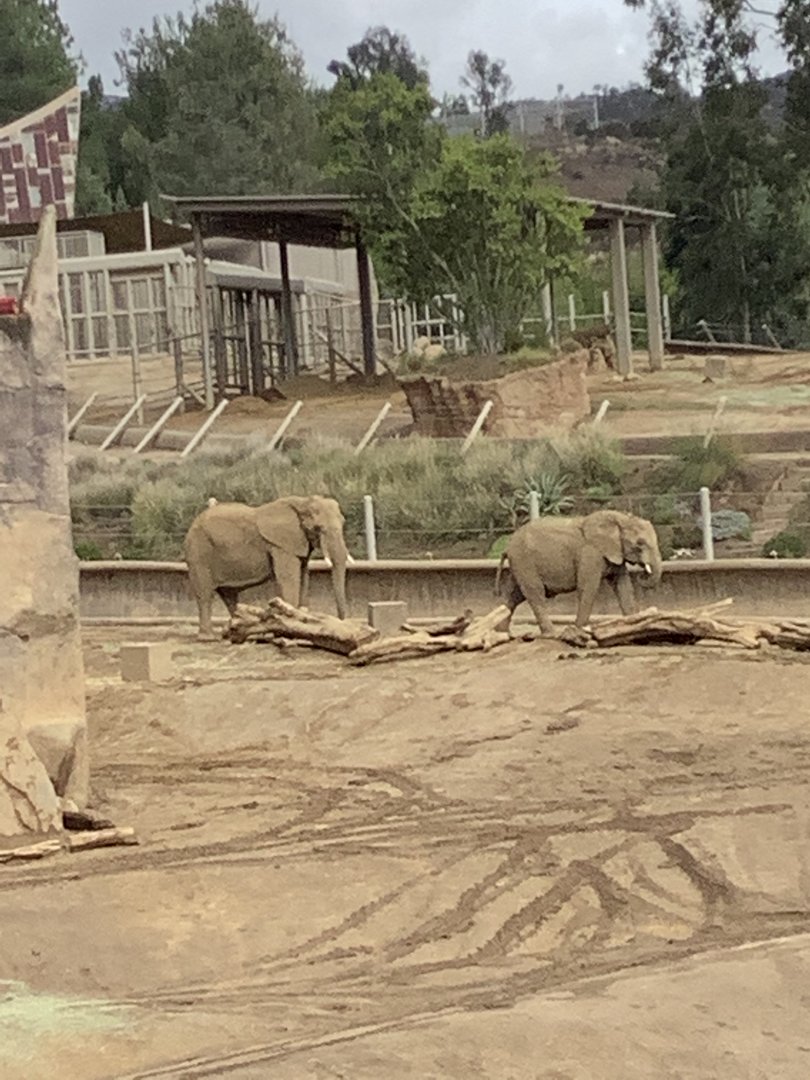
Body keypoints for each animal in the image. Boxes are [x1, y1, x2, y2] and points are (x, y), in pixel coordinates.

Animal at [184, 495, 349, 640]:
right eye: (318, 528)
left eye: (343, 522)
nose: (341, 622)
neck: (302, 501)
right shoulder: (281, 545)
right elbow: (289, 579)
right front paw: (290, 631)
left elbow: (303, 577)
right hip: (199, 553)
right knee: (205, 594)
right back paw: (207, 638)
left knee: (230, 596)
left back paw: (234, 630)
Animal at [496, 509, 663, 637]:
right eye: (640, 544)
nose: (642, 573)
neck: (620, 518)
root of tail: (508, 546)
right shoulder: (590, 553)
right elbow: (588, 587)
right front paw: (579, 631)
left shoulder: (614, 553)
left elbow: (623, 587)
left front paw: (633, 625)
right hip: (524, 561)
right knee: (535, 593)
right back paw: (551, 634)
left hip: (520, 564)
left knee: (514, 595)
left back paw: (502, 634)